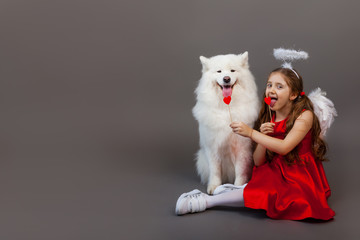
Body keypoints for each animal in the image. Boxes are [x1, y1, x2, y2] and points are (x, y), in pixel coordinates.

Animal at [193, 51, 260, 194]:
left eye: (232, 70)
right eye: (219, 71)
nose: (227, 79)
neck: (225, 108)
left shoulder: (242, 149)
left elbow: (240, 171)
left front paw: (238, 187)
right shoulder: (212, 147)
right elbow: (215, 171)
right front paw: (214, 187)